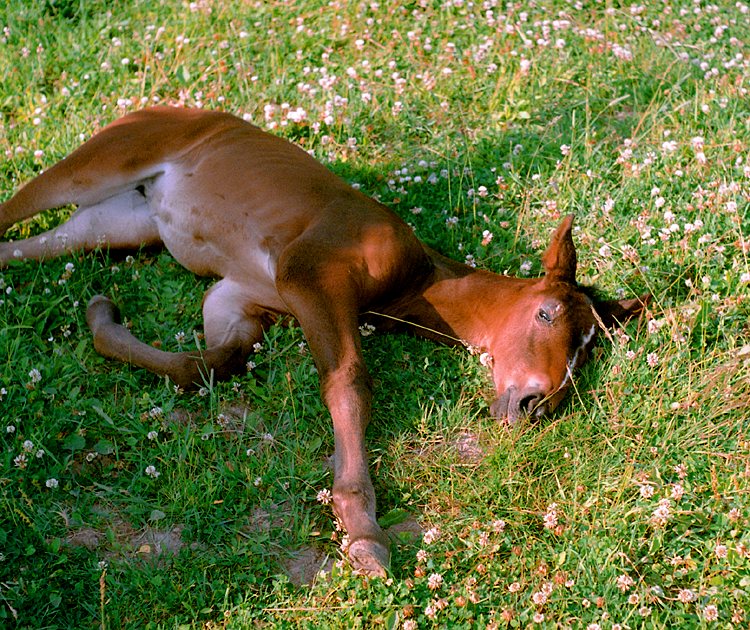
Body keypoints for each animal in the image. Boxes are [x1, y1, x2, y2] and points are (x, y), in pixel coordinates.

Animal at [0, 108, 648, 576]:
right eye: (545, 313)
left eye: (590, 348)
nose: (537, 404)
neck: (414, 284)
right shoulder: (309, 273)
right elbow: (349, 382)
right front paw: (363, 533)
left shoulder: (240, 298)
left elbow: (211, 362)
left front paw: (101, 317)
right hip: (100, 165)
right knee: (18, 207)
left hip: (117, 226)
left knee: (26, 245)